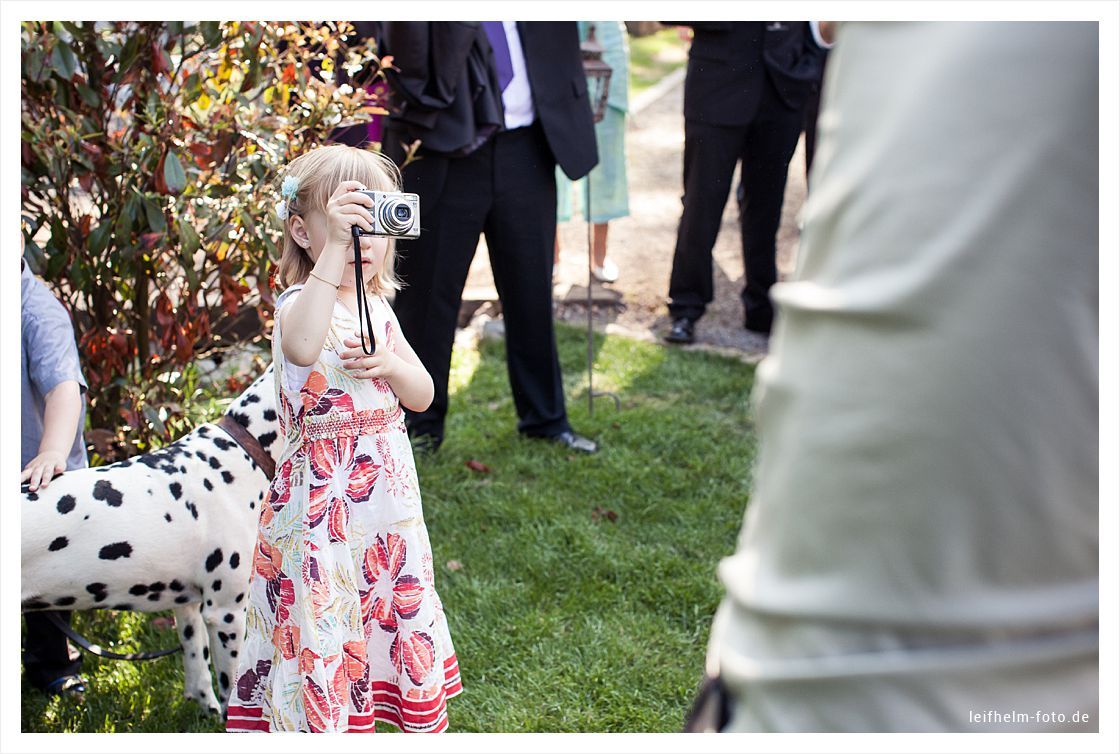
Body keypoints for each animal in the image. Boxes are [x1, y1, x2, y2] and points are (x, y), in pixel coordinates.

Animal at [22, 365, 280, 717]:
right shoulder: (226, 613)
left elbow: (198, 670)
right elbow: (232, 686)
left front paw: (207, 709)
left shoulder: (188, 607)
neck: (243, 452)